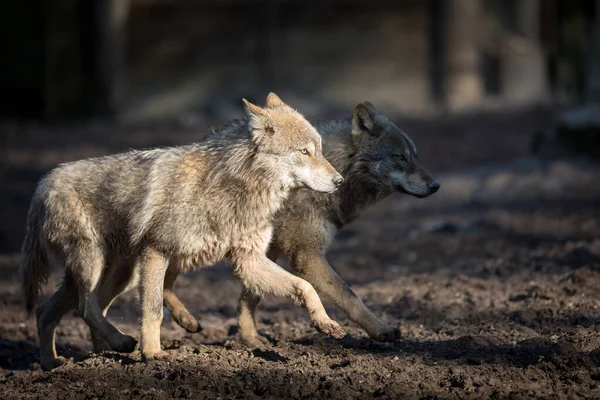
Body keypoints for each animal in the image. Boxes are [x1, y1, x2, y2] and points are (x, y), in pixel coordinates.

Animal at [18, 93, 344, 368]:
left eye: (319, 151)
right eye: (305, 151)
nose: (340, 181)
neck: (235, 186)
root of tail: (41, 184)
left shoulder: (248, 261)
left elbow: (305, 286)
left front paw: (325, 323)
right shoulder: (156, 251)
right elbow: (152, 311)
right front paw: (153, 355)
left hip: (117, 273)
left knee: (52, 311)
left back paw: (56, 363)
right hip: (97, 266)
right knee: (86, 307)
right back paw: (120, 344)